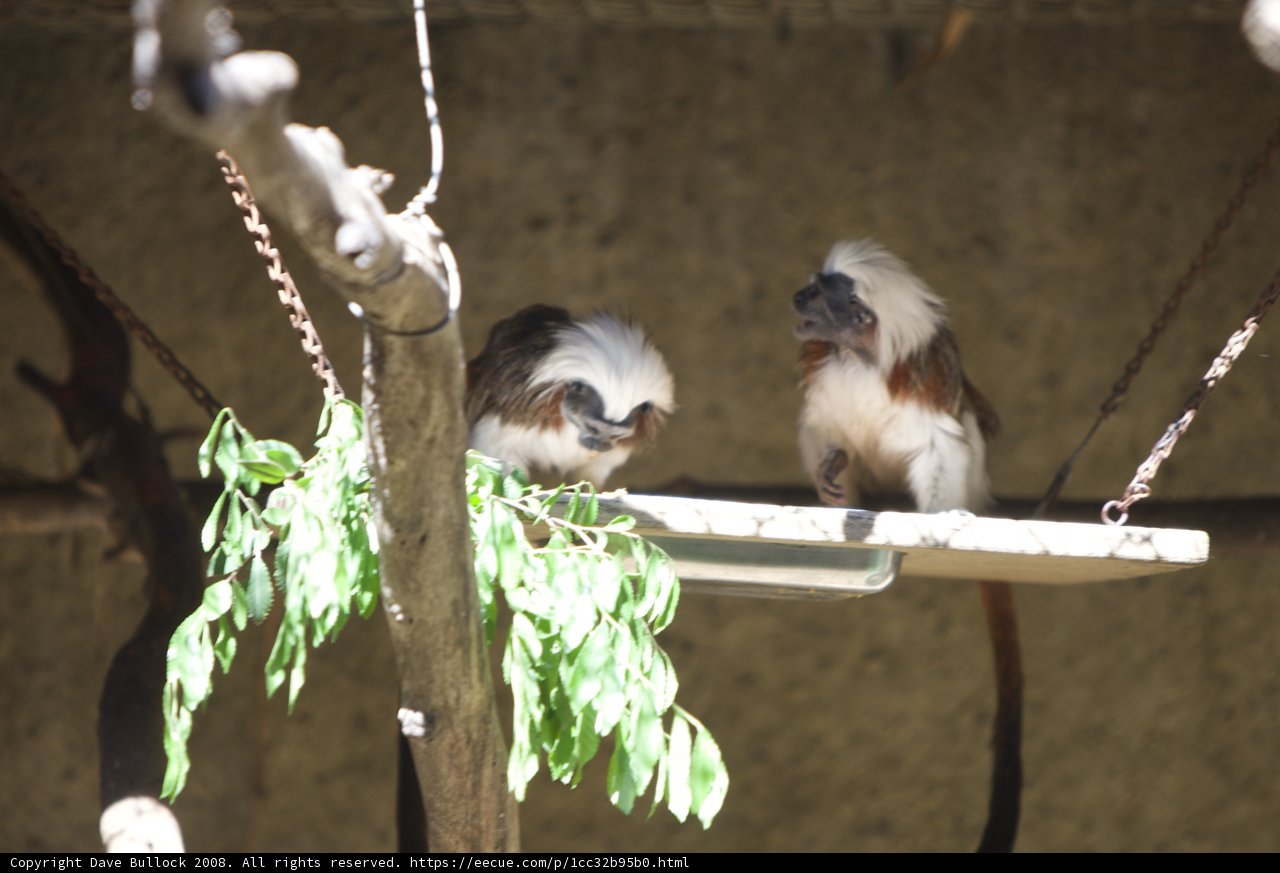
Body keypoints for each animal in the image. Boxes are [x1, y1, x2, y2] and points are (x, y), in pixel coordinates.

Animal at [793, 239, 1022, 853]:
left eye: (818, 293)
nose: (795, 297)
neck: (862, 358)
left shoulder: (928, 389)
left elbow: (944, 443)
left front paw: (938, 519)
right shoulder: (826, 380)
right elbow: (823, 434)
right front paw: (832, 474)